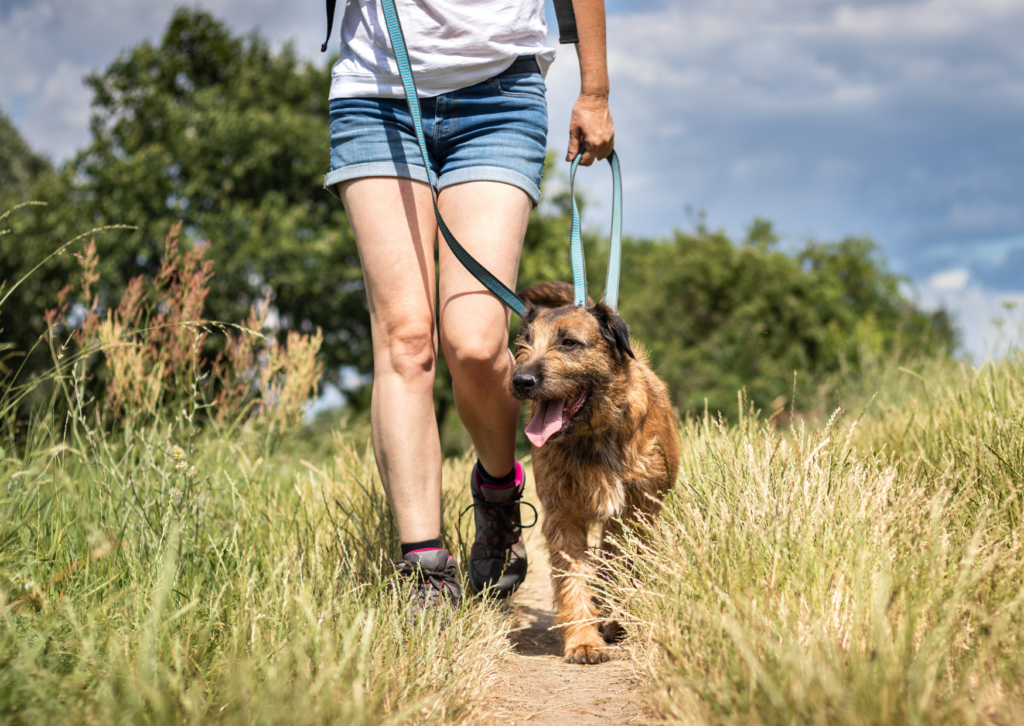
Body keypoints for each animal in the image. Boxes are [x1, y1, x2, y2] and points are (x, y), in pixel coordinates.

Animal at [507, 282, 675, 663]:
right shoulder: (563, 516)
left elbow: (622, 566)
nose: (521, 380)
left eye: (569, 342)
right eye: (524, 343)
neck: (594, 435)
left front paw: (614, 620)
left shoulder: (636, 512)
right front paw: (583, 640)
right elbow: (573, 578)